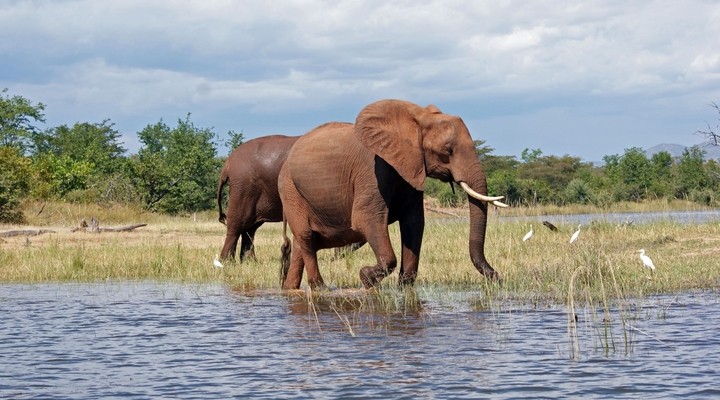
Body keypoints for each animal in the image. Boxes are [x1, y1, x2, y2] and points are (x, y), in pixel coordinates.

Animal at [218, 134, 300, 262]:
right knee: (237, 224)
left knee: (250, 228)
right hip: (243, 187)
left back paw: (250, 262)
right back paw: (227, 262)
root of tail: (227, 163)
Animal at [278, 98, 506, 290]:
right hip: (290, 190)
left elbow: (413, 223)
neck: (417, 120)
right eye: (447, 150)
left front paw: (404, 287)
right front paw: (365, 277)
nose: (497, 278)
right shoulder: (372, 171)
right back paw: (320, 288)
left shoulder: (411, 168)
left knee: (301, 244)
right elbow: (367, 220)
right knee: (306, 238)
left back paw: (290, 289)